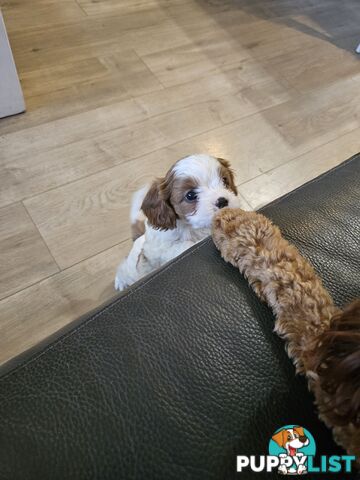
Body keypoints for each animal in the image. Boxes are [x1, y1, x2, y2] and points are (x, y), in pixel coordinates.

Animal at [115, 155, 239, 288]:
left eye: (225, 181)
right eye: (190, 195)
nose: (222, 201)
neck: (193, 228)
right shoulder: (164, 250)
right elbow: (185, 245)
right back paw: (120, 282)